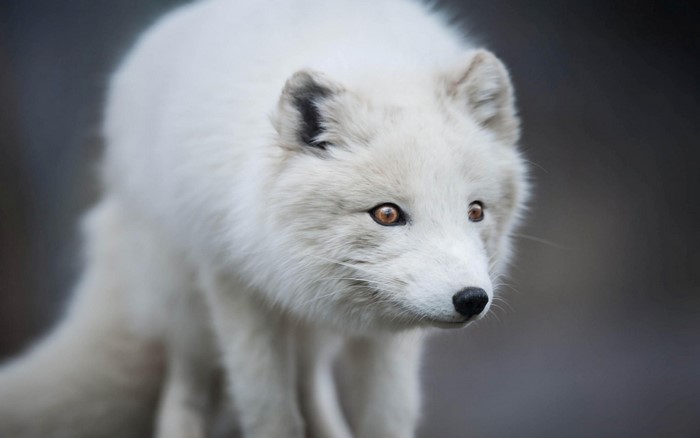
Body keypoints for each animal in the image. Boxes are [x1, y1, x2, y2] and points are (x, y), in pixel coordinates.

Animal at [0, 0, 529, 436]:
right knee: (183, 394)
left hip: (306, 330)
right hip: (189, 311)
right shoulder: (235, 287)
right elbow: (270, 413)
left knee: (309, 385)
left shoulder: (388, 336)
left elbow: (386, 418)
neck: (368, 61)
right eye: (387, 214)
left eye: (475, 211)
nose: (471, 299)